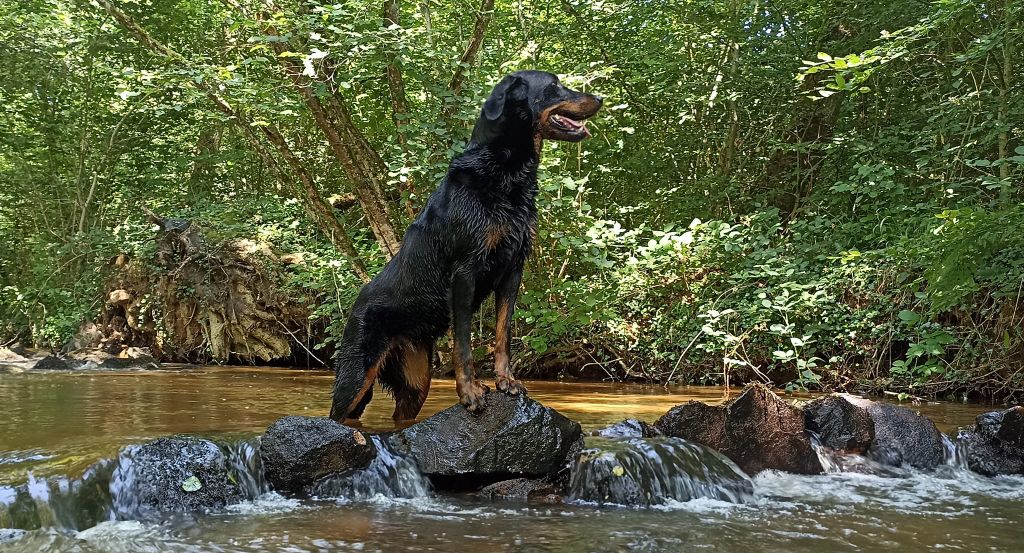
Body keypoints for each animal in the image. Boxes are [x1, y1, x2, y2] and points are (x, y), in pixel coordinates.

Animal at [327, 70, 598, 423]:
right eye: (554, 86)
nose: (600, 99)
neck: (504, 172)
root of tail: (354, 306)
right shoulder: (465, 271)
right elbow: (464, 343)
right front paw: (470, 393)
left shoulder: (513, 270)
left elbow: (503, 334)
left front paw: (506, 381)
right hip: (356, 376)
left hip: (416, 382)